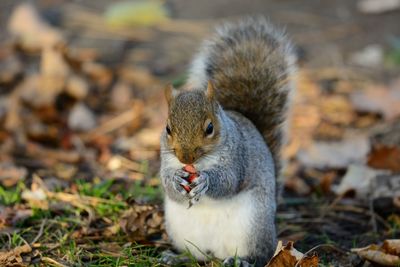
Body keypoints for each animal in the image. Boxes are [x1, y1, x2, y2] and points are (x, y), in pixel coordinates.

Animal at [159, 17, 294, 266]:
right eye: (167, 129)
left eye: (210, 128)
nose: (185, 158)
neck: (200, 162)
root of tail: (215, 251)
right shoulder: (166, 160)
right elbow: (166, 183)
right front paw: (175, 179)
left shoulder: (237, 158)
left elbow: (229, 181)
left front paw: (205, 180)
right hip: (181, 230)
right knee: (194, 255)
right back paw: (176, 257)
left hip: (252, 228)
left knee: (259, 254)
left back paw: (241, 260)